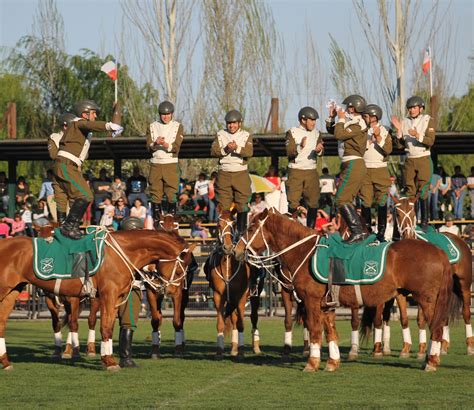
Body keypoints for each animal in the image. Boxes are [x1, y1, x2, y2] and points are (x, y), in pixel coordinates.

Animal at [0, 229, 194, 370]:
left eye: (185, 270)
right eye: (179, 270)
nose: (172, 291)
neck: (121, 252)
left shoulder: (117, 297)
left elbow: (113, 327)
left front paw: (109, 358)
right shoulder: (108, 295)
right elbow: (105, 327)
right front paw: (109, 361)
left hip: (12, 292)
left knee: (1, 323)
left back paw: (6, 362)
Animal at [207, 211, 262, 358]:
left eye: (234, 224)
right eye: (218, 224)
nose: (227, 247)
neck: (227, 264)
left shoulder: (242, 297)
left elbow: (242, 323)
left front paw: (242, 351)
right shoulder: (218, 296)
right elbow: (221, 323)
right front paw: (219, 351)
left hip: (255, 296)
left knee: (253, 318)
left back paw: (255, 347)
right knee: (233, 319)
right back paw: (233, 348)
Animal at [235, 208, 458, 372]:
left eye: (251, 228)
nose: (236, 250)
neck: (305, 252)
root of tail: (439, 251)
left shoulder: (312, 301)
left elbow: (315, 330)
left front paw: (312, 363)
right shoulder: (326, 305)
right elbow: (330, 332)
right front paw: (332, 362)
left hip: (427, 300)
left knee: (437, 328)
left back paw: (431, 362)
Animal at [390, 197, 472, 358]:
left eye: (413, 212)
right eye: (397, 214)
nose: (408, 235)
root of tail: (459, 240)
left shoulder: (422, 292)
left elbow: (421, 319)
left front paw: (422, 350)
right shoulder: (400, 292)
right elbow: (404, 319)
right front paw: (405, 348)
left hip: (464, 286)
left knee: (466, 313)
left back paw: (470, 346)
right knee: (444, 316)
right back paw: (443, 346)